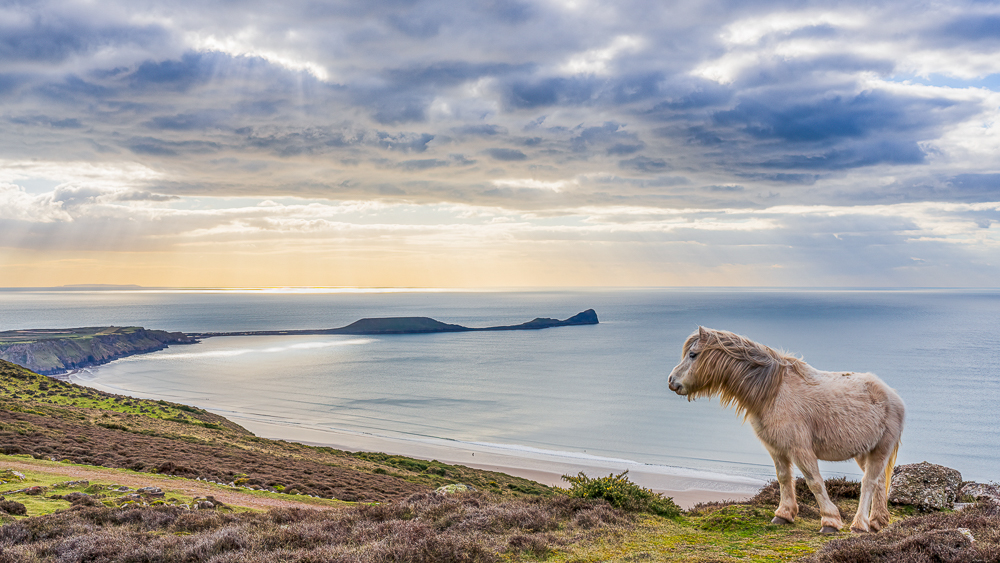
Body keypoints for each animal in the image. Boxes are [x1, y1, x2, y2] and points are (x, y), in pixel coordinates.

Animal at [667, 327, 904, 534]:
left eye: (693, 354)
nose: (672, 381)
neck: (774, 392)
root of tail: (892, 395)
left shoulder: (800, 449)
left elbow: (814, 482)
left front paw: (830, 521)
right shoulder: (776, 448)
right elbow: (783, 478)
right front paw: (784, 514)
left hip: (880, 449)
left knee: (868, 483)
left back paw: (859, 525)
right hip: (865, 452)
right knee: (879, 482)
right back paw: (877, 522)